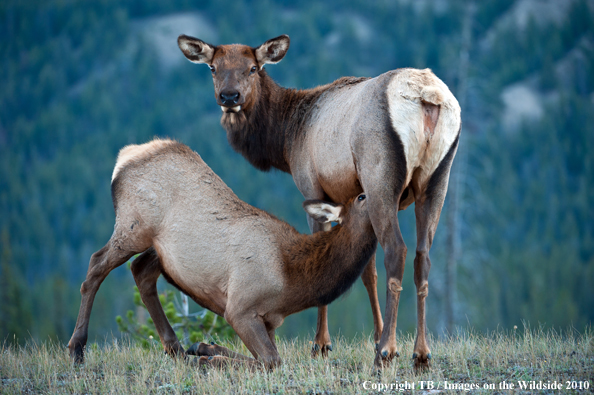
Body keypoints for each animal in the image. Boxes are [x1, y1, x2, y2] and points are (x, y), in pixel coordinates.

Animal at [68, 140, 374, 372]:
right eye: (361, 197)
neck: (294, 281)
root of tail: (125, 156)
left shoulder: (268, 320)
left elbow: (262, 356)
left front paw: (203, 347)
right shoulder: (240, 308)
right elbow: (271, 360)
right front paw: (207, 357)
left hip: (158, 247)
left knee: (141, 270)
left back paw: (176, 348)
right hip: (133, 227)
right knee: (96, 265)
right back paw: (77, 349)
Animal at [177, 34, 462, 372]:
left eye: (253, 68)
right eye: (213, 67)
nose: (229, 96)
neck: (285, 140)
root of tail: (427, 96)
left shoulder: (313, 187)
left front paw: (322, 344)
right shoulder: (354, 199)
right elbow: (367, 272)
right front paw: (375, 334)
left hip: (380, 177)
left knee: (397, 251)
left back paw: (387, 351)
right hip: (436, 181)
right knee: (423, 258)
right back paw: (421, 353)